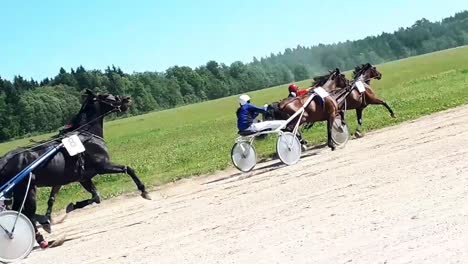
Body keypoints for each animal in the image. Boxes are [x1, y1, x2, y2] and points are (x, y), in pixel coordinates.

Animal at [0, 89, 151, 249]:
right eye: (107, 96)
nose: (127, 99)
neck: (85, 136)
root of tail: (4, 159)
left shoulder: (83, 177)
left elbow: (95, 197)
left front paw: (71, 206)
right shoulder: (102, 166)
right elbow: (128, 169)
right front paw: (144, 191)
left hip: (21, 191)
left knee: (20, 212)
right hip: (27, 189)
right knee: (24, 213)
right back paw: (40, 239)